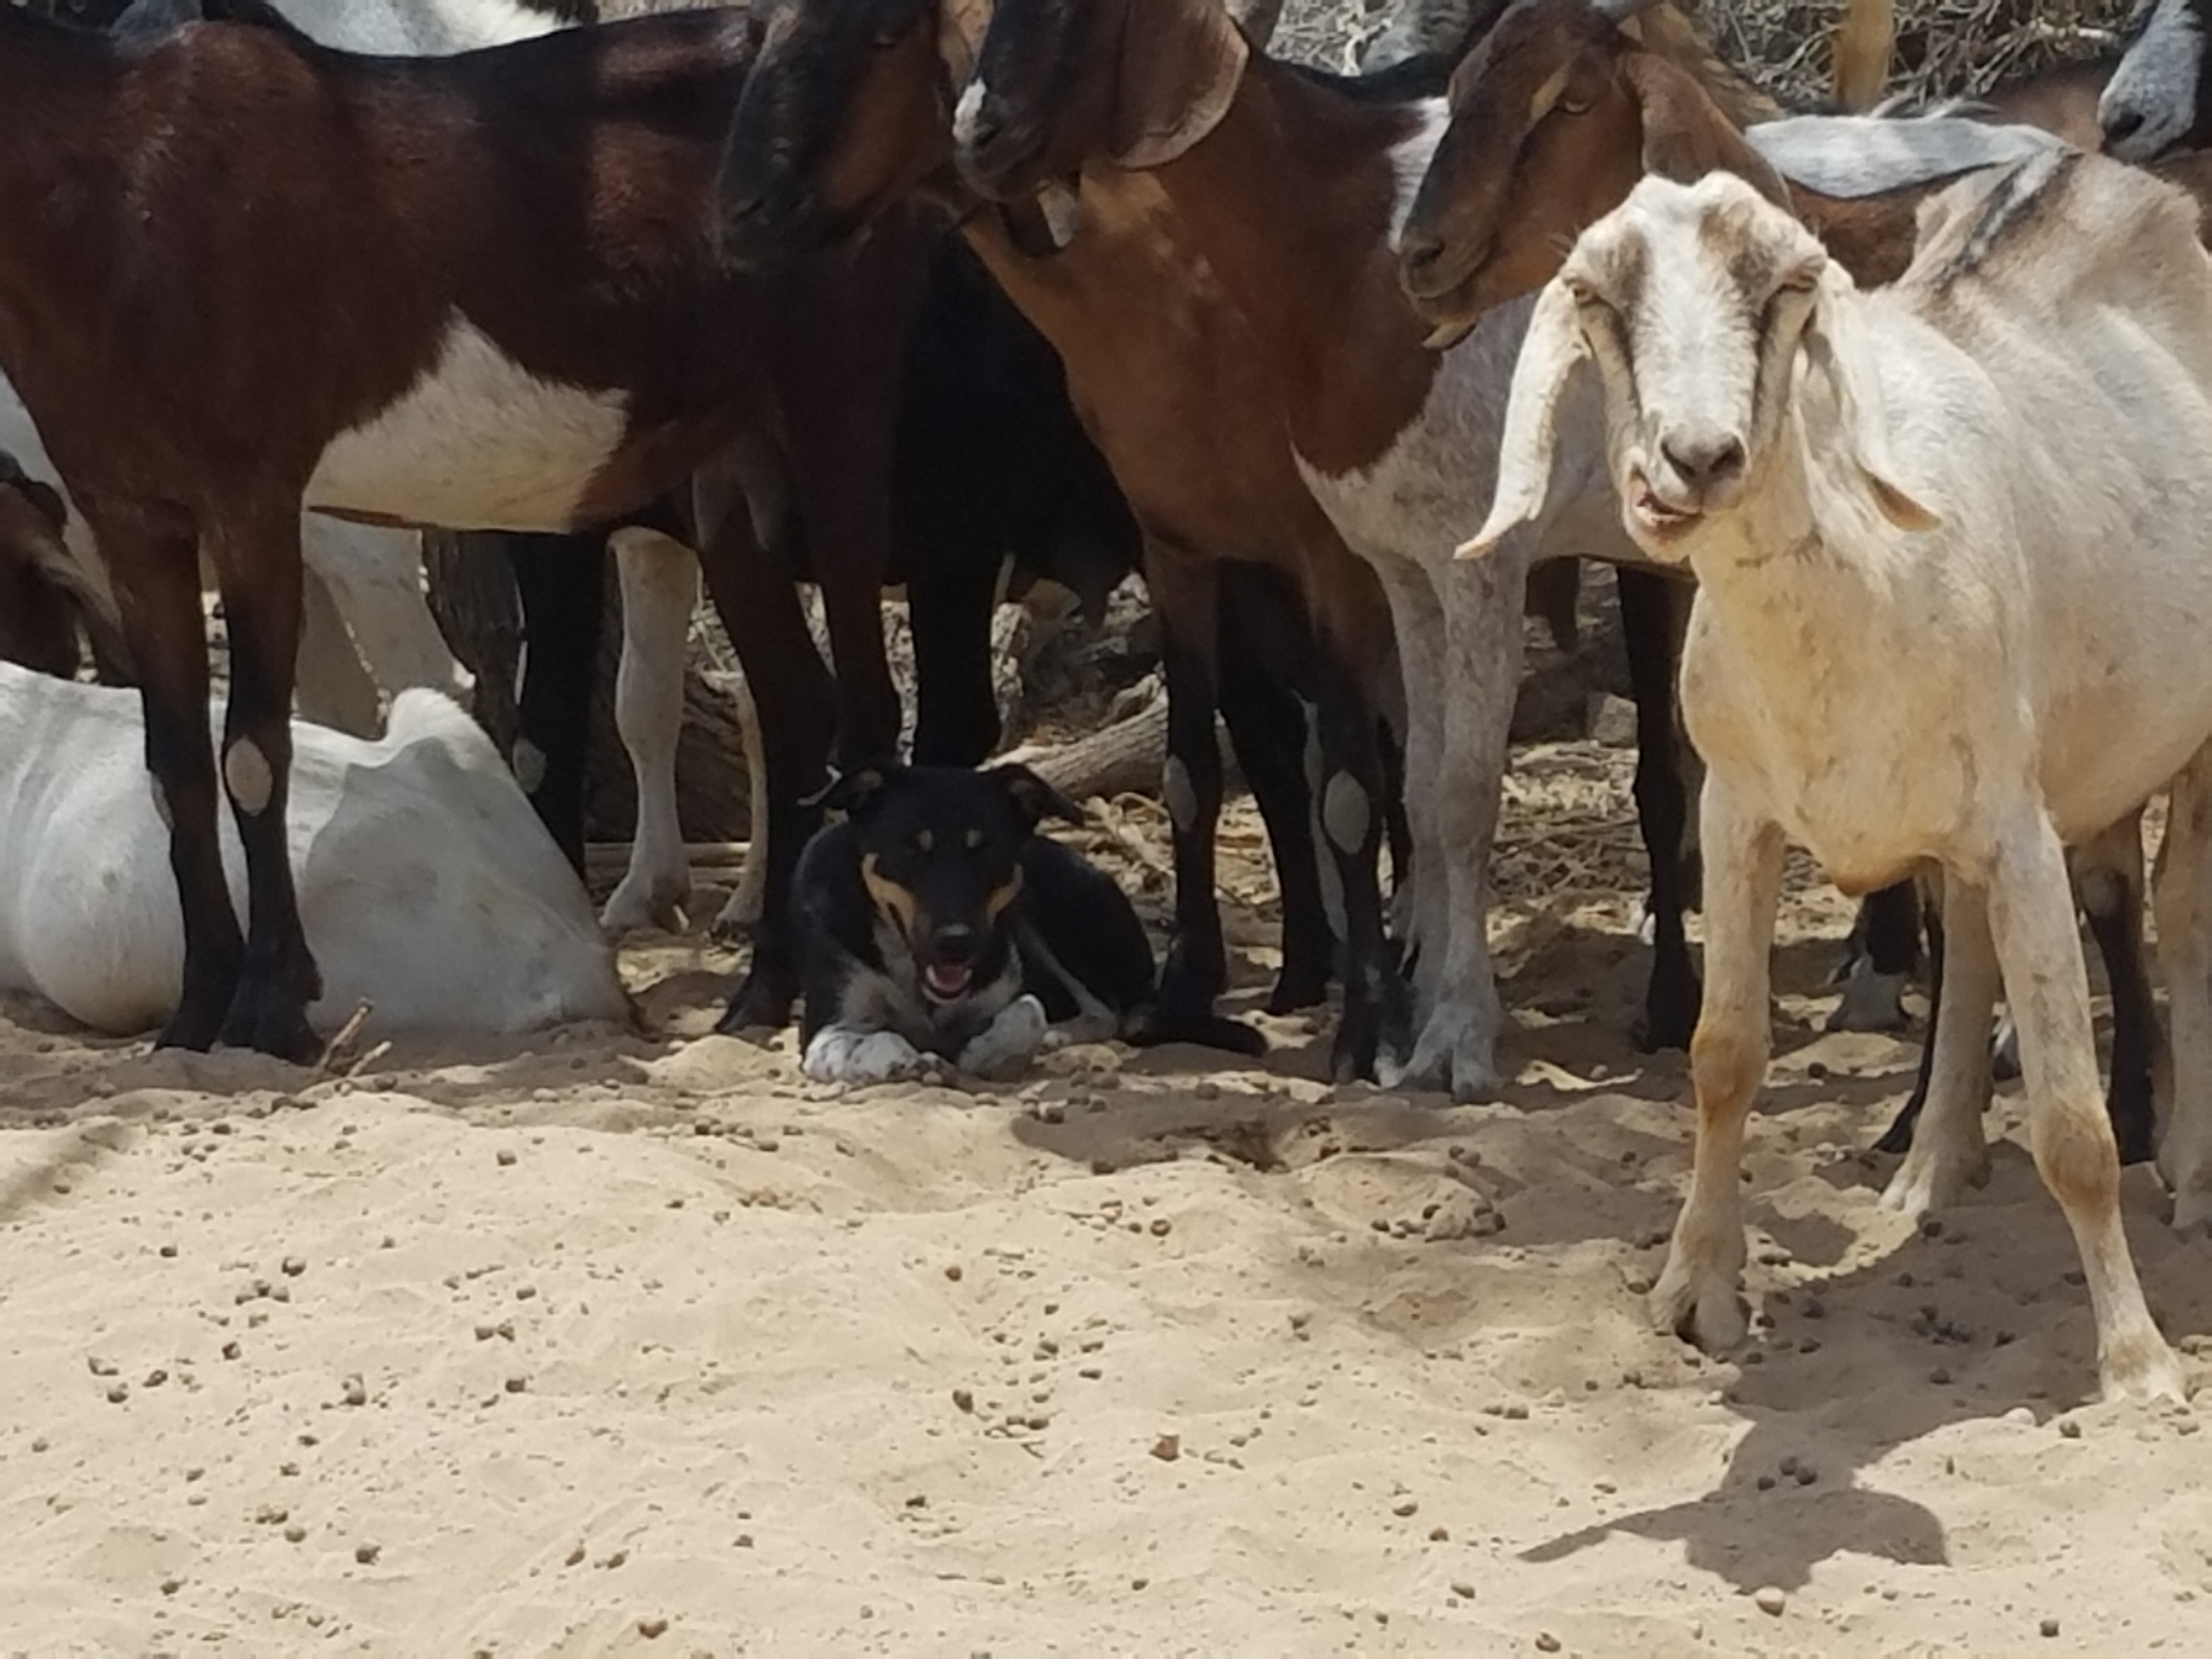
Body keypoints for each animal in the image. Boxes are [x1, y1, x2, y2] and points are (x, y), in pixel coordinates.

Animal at [792, 761, 1265, 1084]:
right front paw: (900, 1058)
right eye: (912, 848)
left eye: (985, 850)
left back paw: (1058, 1037)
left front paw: (991, 1051)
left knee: (1107, 1014)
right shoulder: (827, 1027)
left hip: (1053, 909)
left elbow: (1028, 1010)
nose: (956, 944)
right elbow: (871, 1040)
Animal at [1451, 156, 2212, 1407]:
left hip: (2185, 744)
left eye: (1787, 288)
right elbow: (1722, 1058)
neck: (1861, 577)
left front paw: (2136, 1361)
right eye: (1597, 296)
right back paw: (1932, 1172)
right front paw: (1695, 1295)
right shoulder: (1739, 811)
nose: (1696, 459)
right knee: (1972, 935)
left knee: (2189, 918)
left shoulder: (2021, 829)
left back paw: (2192, 1173)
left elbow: (2074, 1124)